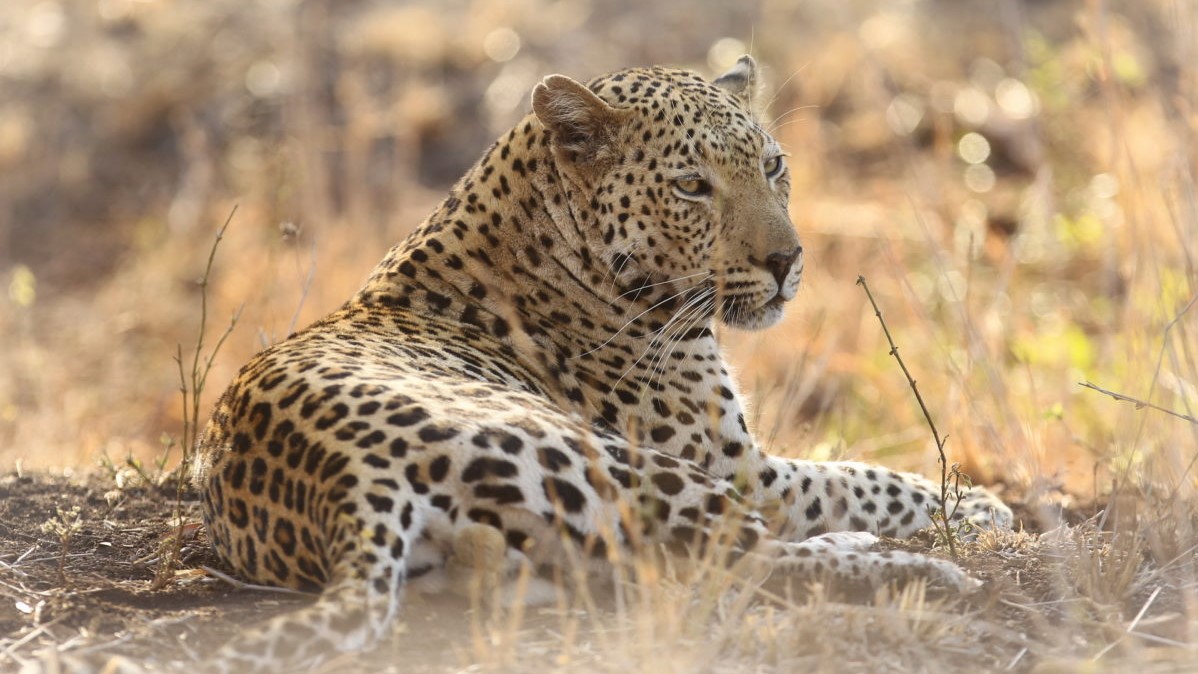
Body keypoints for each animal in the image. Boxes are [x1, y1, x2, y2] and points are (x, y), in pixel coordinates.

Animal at [192, 56, 1013, 672]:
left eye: (775, 166)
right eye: (692, 186)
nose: (786, 261)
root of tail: (348, 479)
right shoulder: (741, 464)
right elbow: (860, 479)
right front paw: (978, 505)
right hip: (627, 466)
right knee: (741, 563)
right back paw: (925, 573)